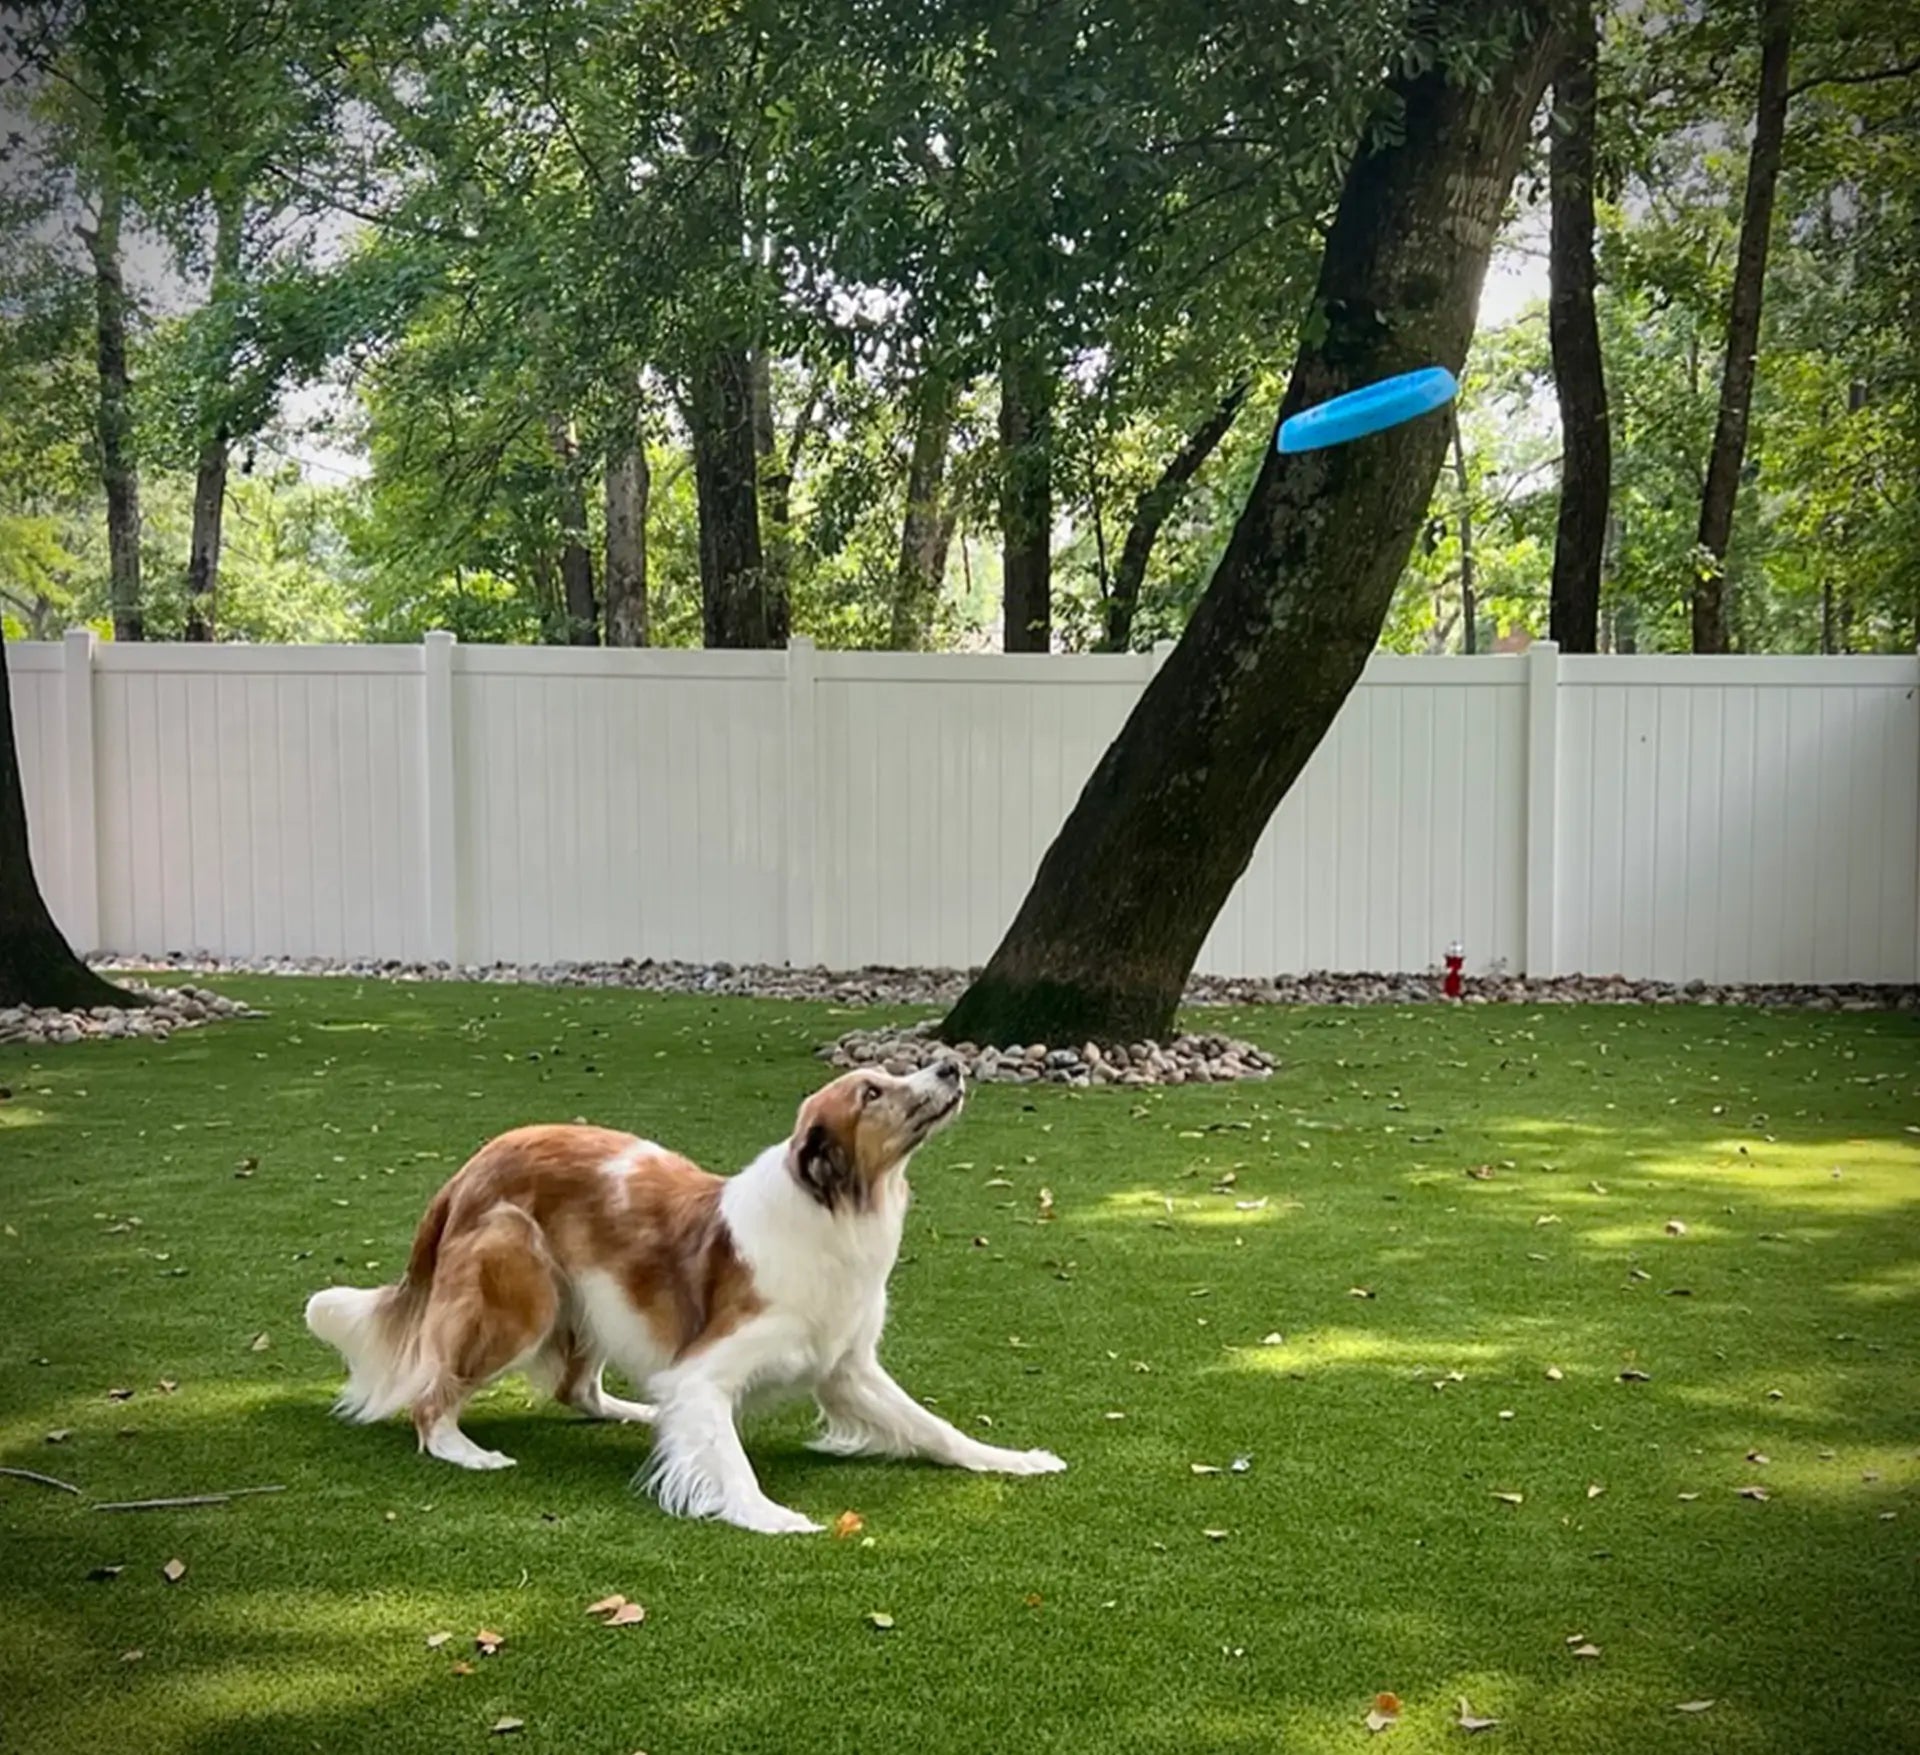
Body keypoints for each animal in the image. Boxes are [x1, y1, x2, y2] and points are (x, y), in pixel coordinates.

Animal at [307, 1052, 1075, 1536]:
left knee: (577, 1389)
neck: (834, 1209)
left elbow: (936, 1428)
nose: (950, 1065)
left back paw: (639, 1410)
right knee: (431, 1397)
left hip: (594, 1301)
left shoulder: (846, 1370)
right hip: (523, 1295)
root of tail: (469, 1168)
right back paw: (465, 1449)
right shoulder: (707, 1371)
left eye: (886, 1076)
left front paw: (1014, 1460)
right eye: (871, 1092)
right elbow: (730, 1461)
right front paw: (770, 1517)